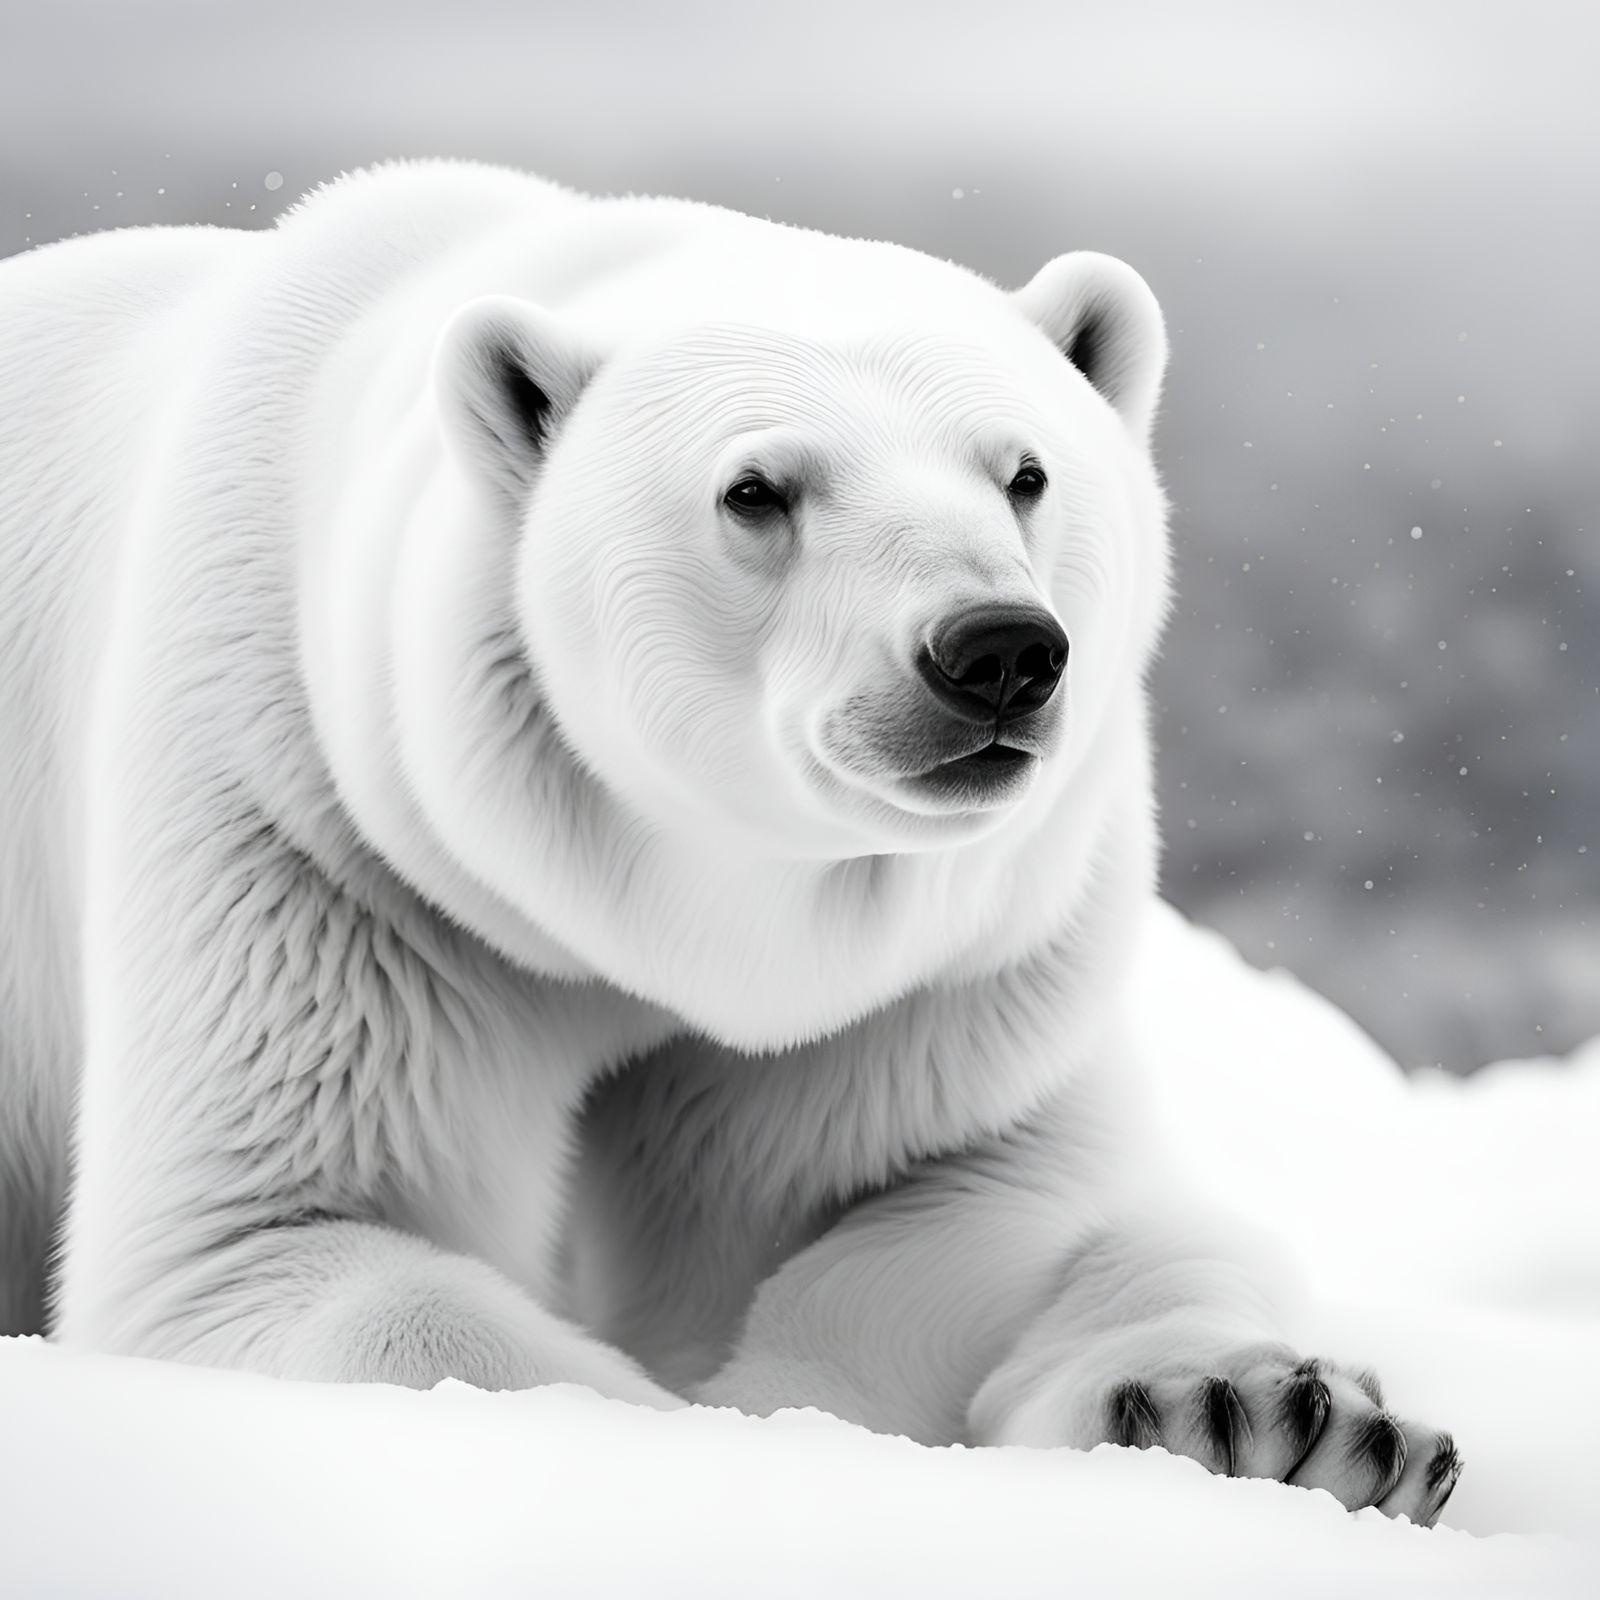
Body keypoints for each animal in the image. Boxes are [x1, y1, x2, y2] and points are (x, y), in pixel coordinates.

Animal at [0, 160, 1459, 1523]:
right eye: (756, 490)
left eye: (1027, 471)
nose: (996, 652)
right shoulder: (323, 836)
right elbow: (270, 1239)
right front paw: (714, 1444)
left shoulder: (942, 971)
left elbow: (984, 1193)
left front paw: (1273, 1411)